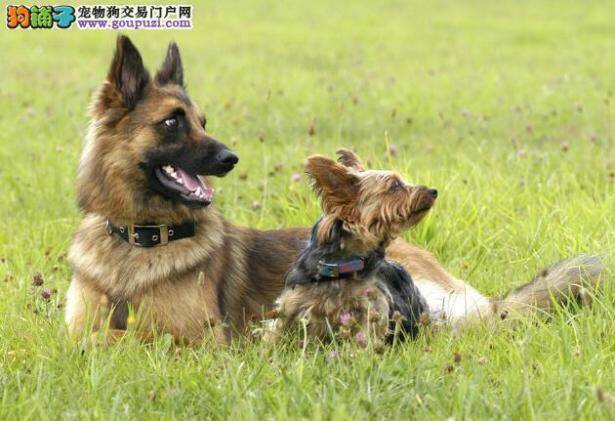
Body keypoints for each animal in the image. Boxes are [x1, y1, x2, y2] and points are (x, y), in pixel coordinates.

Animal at [270, 149, 438, 346]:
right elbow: (277, 329)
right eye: (395, 185)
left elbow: (366, 337)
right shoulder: (293, 302)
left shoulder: (371, 306)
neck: (342, 266)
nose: (434, 191)